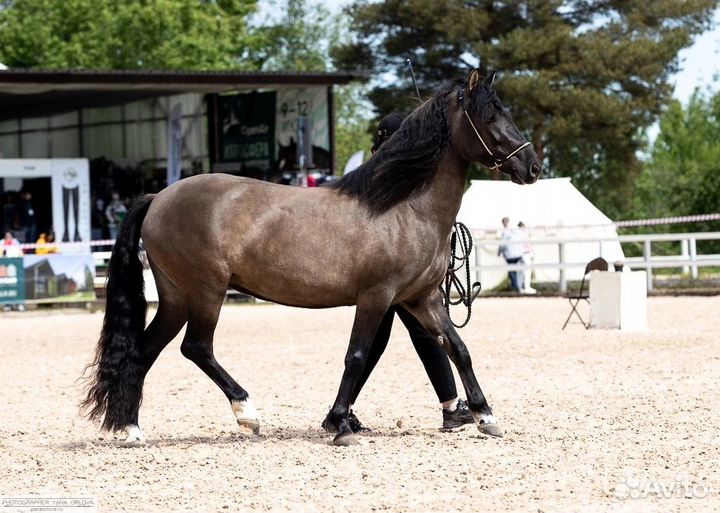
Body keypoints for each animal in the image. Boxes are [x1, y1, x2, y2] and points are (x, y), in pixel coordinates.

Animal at [80, 69, 541, 446]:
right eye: (490, 116)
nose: (533, 166)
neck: (403, 207)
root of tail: (158, 196)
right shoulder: (376, 297)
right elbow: (357, 355)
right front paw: (340, 426)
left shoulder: (422, 299)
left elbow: (457, 348)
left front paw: (485, 416)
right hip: (206, 292)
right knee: (196, 348)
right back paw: (247, 414)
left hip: (177, 297)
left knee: (144, 351)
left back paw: (131, 429)